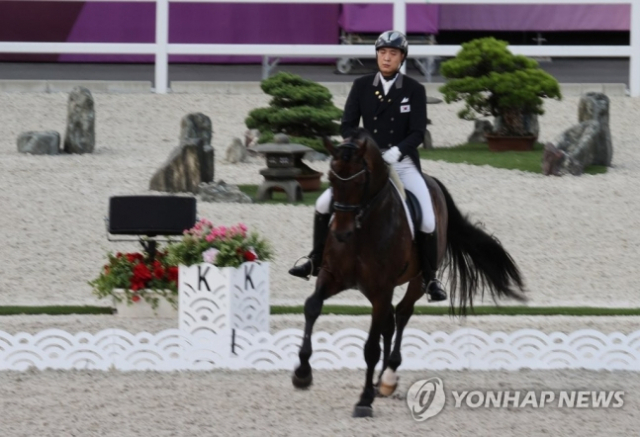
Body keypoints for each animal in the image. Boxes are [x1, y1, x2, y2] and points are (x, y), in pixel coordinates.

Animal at [292, 129, 524, 416]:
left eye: (360, 182)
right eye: (332, 179)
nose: (340, 234)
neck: (362, 227)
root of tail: (432, 182)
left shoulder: (381, 288)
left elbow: (371, 347)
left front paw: (364, 400)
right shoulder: (332, 277)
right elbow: (312, 307)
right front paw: (302, 373)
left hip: (417, 280)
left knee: (402, 314)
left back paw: (388, 377)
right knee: (390, 321)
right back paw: (380, 380)